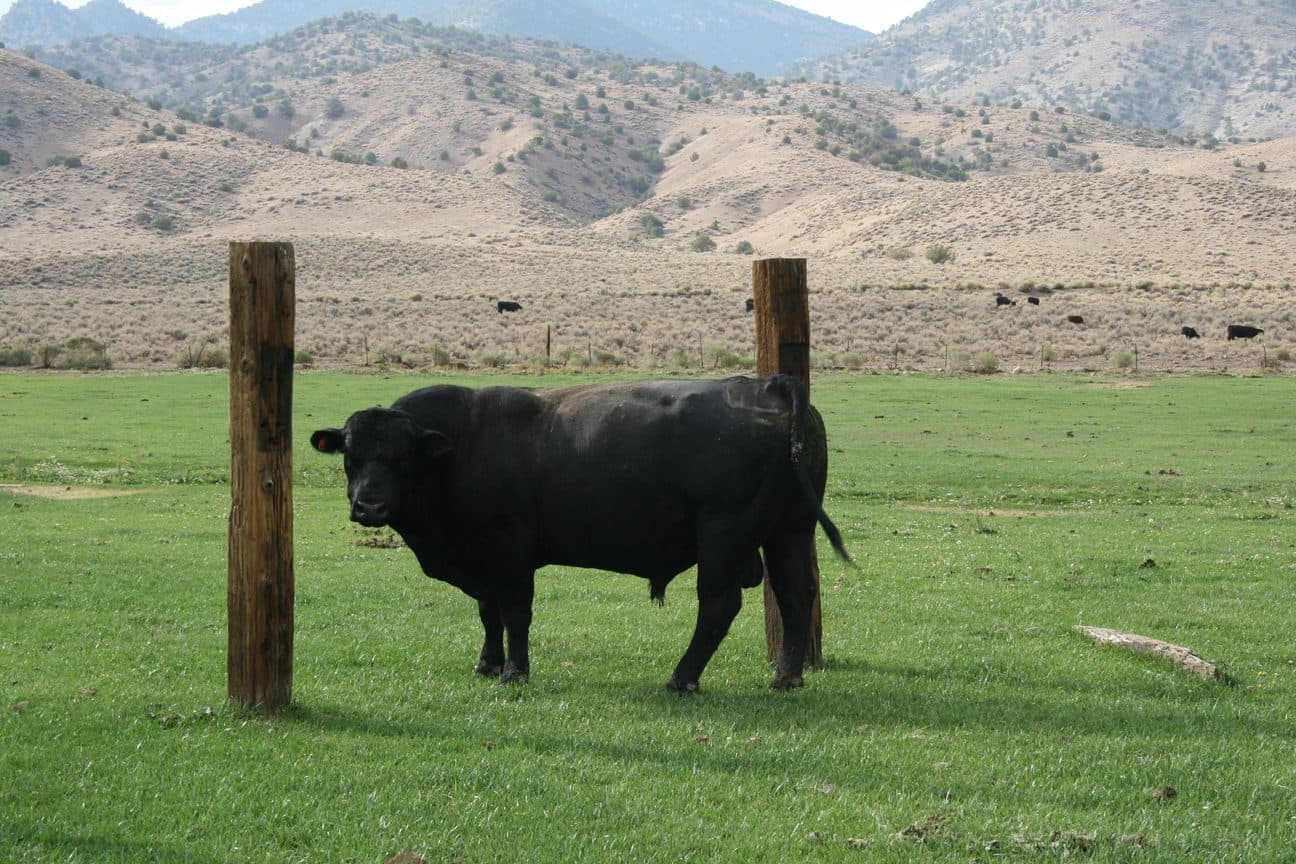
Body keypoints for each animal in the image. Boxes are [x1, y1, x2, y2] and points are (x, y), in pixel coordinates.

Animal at [311, 375, 850, 694]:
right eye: (350, 454)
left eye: (402, 457)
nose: (369, 505)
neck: (462, 446)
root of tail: (764, 386)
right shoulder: (481, 559)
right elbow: (488, 613)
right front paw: (487, 664)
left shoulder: (510, 552)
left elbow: (514, 613)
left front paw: (515, 672)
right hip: (788, 530)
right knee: (797, 594)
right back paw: (786, 676)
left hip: (724, 535)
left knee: (719, 607)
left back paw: (682, 678)